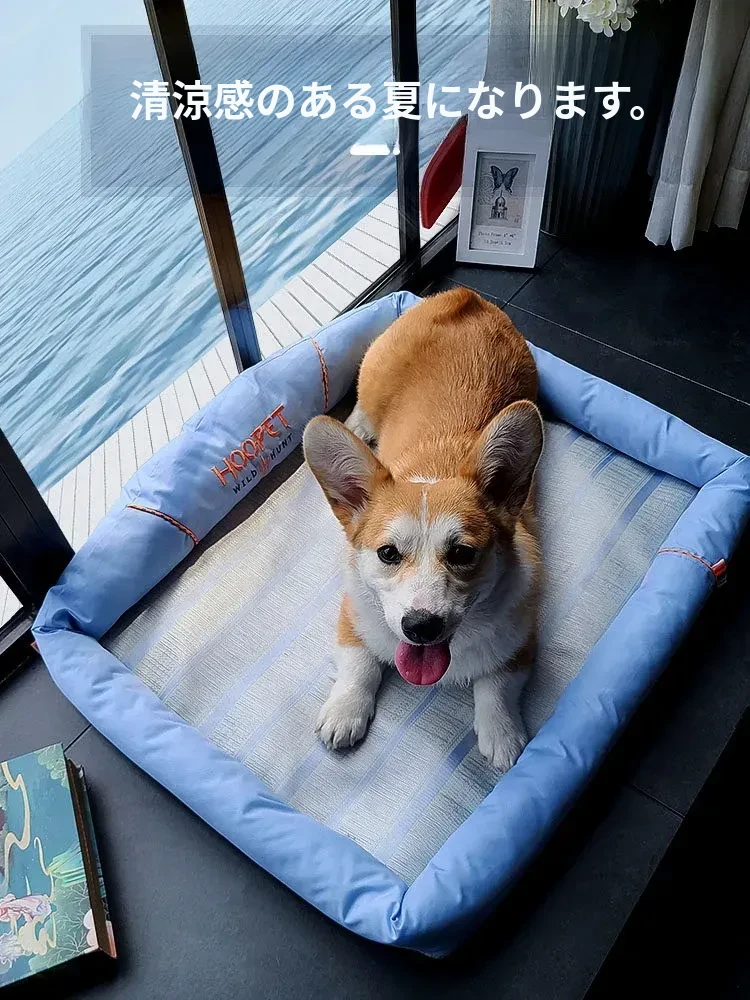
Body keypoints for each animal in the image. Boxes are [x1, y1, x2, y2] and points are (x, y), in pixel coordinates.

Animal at [303, 288, 543, 770]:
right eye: (388, 554)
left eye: (463, 553)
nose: (421, 628)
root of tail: (464, 298)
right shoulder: (352, 617)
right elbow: (357, 665)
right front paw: (343, 713)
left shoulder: (521, 641)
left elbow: (498, 686)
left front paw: (503, 735)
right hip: (372, 376)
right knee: (361, 404)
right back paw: (356, 426)